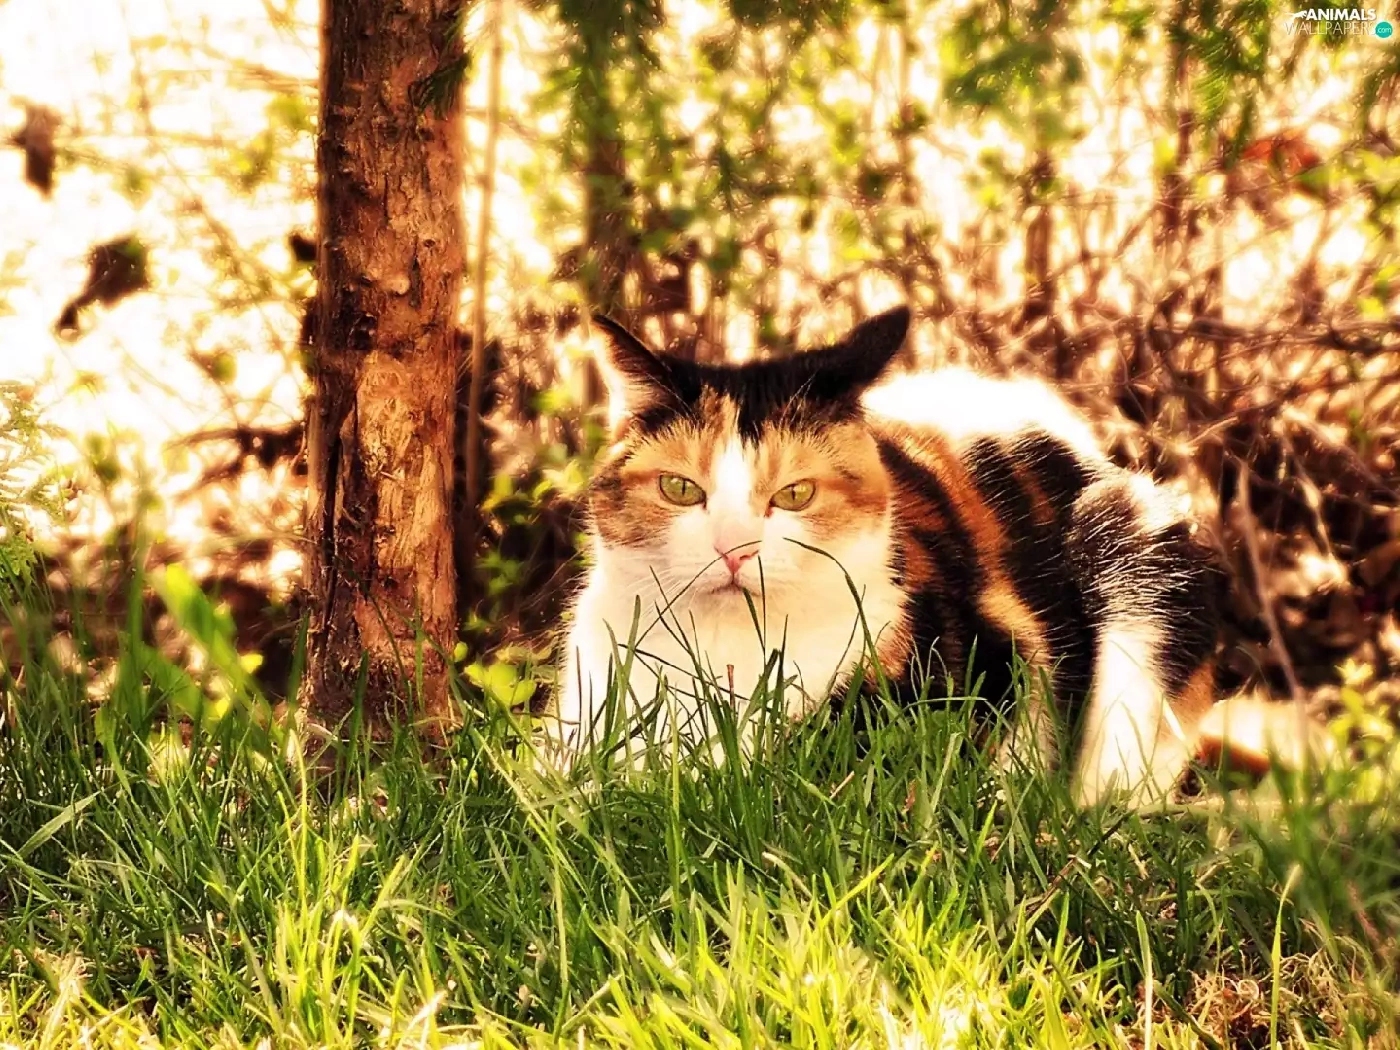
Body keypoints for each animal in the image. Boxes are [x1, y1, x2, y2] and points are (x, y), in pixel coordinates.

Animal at [551, 306, 1223, 806]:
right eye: (680, 489)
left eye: (795, 494)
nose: (733, 550)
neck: (722, 651)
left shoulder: (999, 663)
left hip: (1127, 539)